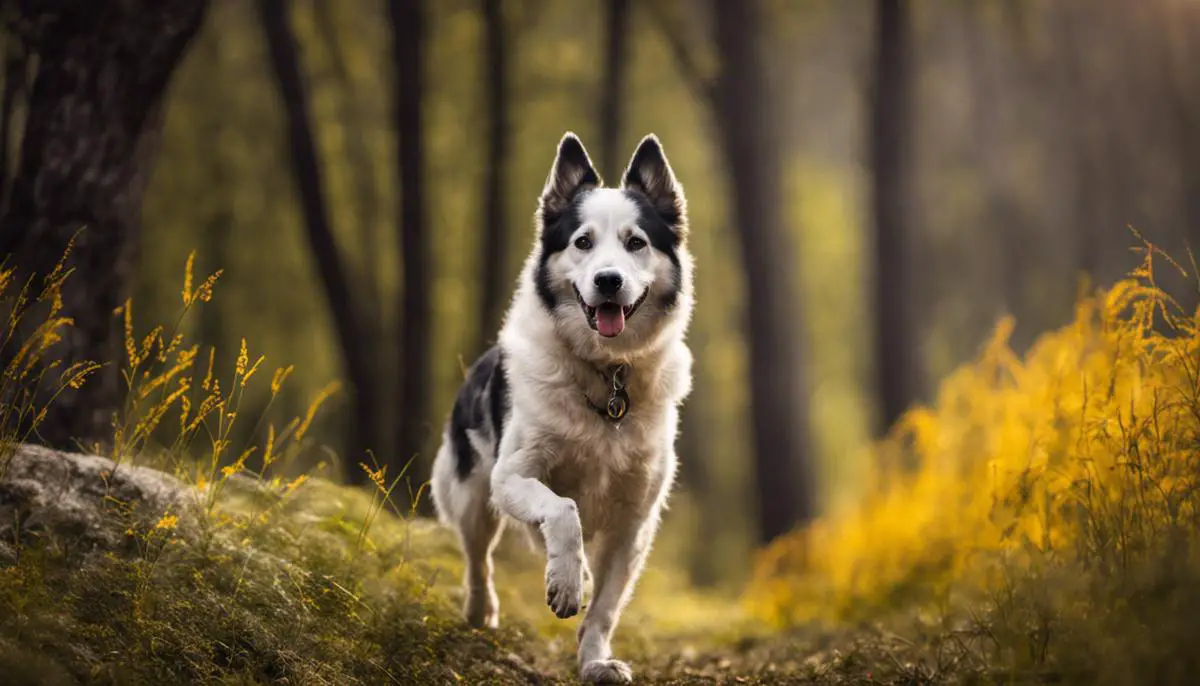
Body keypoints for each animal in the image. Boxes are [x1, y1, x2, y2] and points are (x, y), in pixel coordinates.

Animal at [432, 131, 696, 681]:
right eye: (582, 242)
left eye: (636, 242)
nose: (609, 281)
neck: (606, 373)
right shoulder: (511, 476)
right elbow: (563, 508)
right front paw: (567, 583)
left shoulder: (634, 523)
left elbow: (606, 607)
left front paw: (595, 661)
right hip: (469, 495)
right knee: (477, 558)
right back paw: (481, 610)